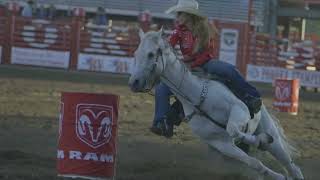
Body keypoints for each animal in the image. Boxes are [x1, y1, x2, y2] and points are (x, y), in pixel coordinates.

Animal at [129, 28, 304, 179]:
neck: (198, 96)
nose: (133, 82)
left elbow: (233, 129)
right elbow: (255, 163)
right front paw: (276, 173)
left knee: (291, 165)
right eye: (136, 53)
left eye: (151, 54)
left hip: (270, 132)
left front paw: (261, 140)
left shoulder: (239, 109)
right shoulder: (220, 144)